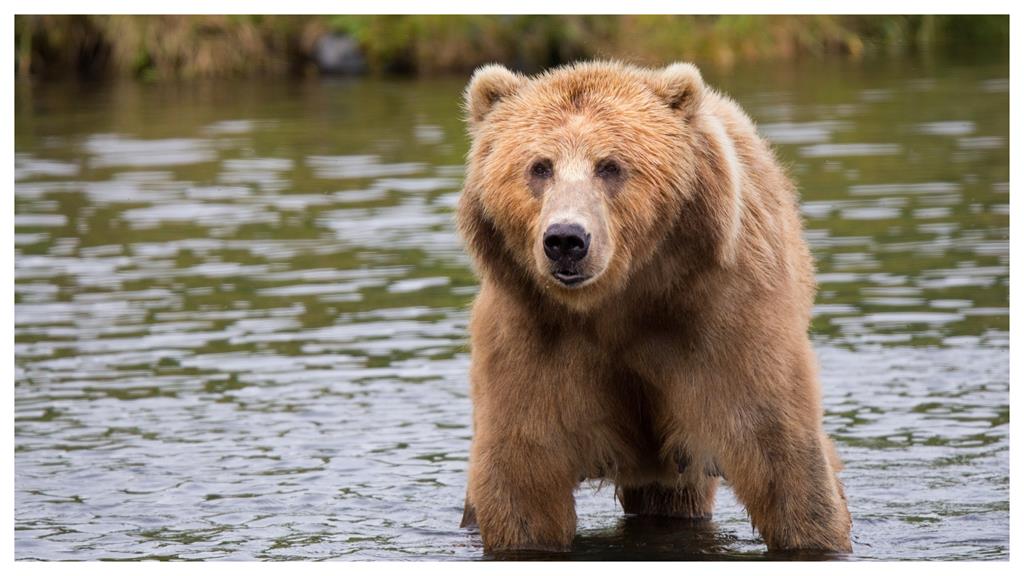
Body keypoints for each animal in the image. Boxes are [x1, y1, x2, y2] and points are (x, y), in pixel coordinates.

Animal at [454, 59, 847, 553]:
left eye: (610, 166)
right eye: (539, 167)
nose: (566, 240)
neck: (619, 300)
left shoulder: (721, 319)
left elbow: (780, 451)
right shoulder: (532, 335)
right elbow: (523, 474)